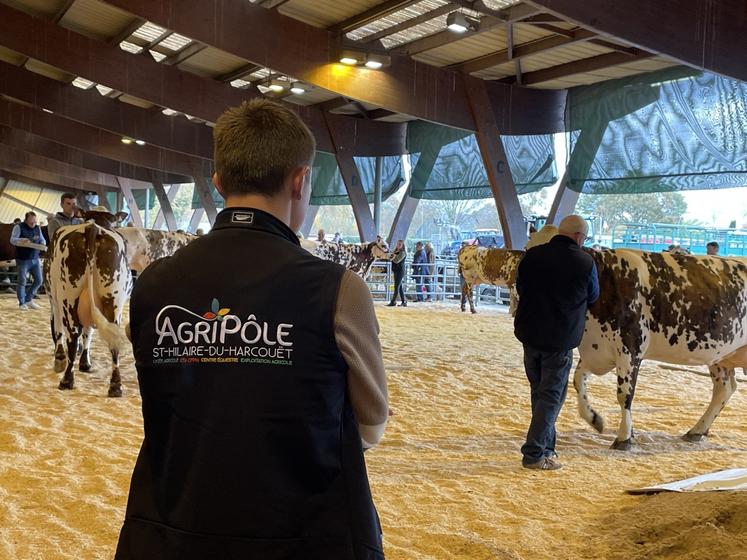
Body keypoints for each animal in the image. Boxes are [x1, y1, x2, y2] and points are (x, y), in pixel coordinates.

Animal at [45, 211, 132, 398]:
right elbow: (88, 333)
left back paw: (66, 380)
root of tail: (93, 228)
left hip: (67, 299)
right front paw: (85, 363)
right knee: (113, 342)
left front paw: (60, 359)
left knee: (72, 336)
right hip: (113, 302)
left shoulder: (54, 300)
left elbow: (58, 331)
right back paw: (115, 386)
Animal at [572, 249, 747, 450]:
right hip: (722, 357)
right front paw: (595, 419)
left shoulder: (630, 349)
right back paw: (697, 431)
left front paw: (624, 438)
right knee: (724, 389)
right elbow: (578, 381)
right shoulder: (595, 352)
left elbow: (624, 394)